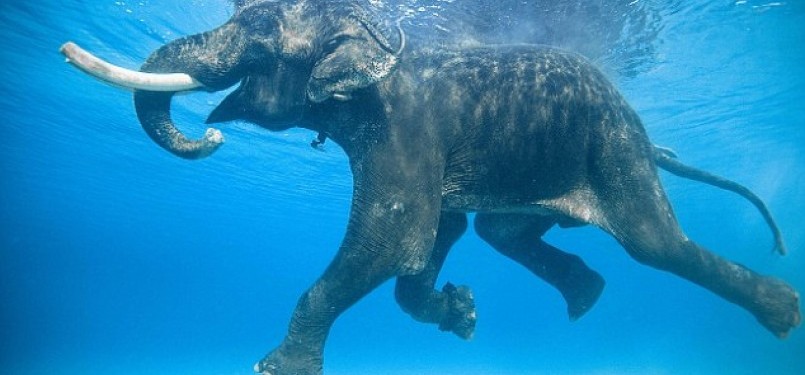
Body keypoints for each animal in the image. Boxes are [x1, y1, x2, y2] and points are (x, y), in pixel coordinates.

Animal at [58, 0, 796, 375]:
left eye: (259, 40)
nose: (211, 136)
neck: (371, 30)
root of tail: (650, 140)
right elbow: (433, 235)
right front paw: (460, 314)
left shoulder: (402, 130)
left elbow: (393, 236)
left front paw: (277, 369)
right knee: (502, 232)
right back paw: (585, 298)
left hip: (614, 148)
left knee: (655, 245)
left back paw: (782, 314)